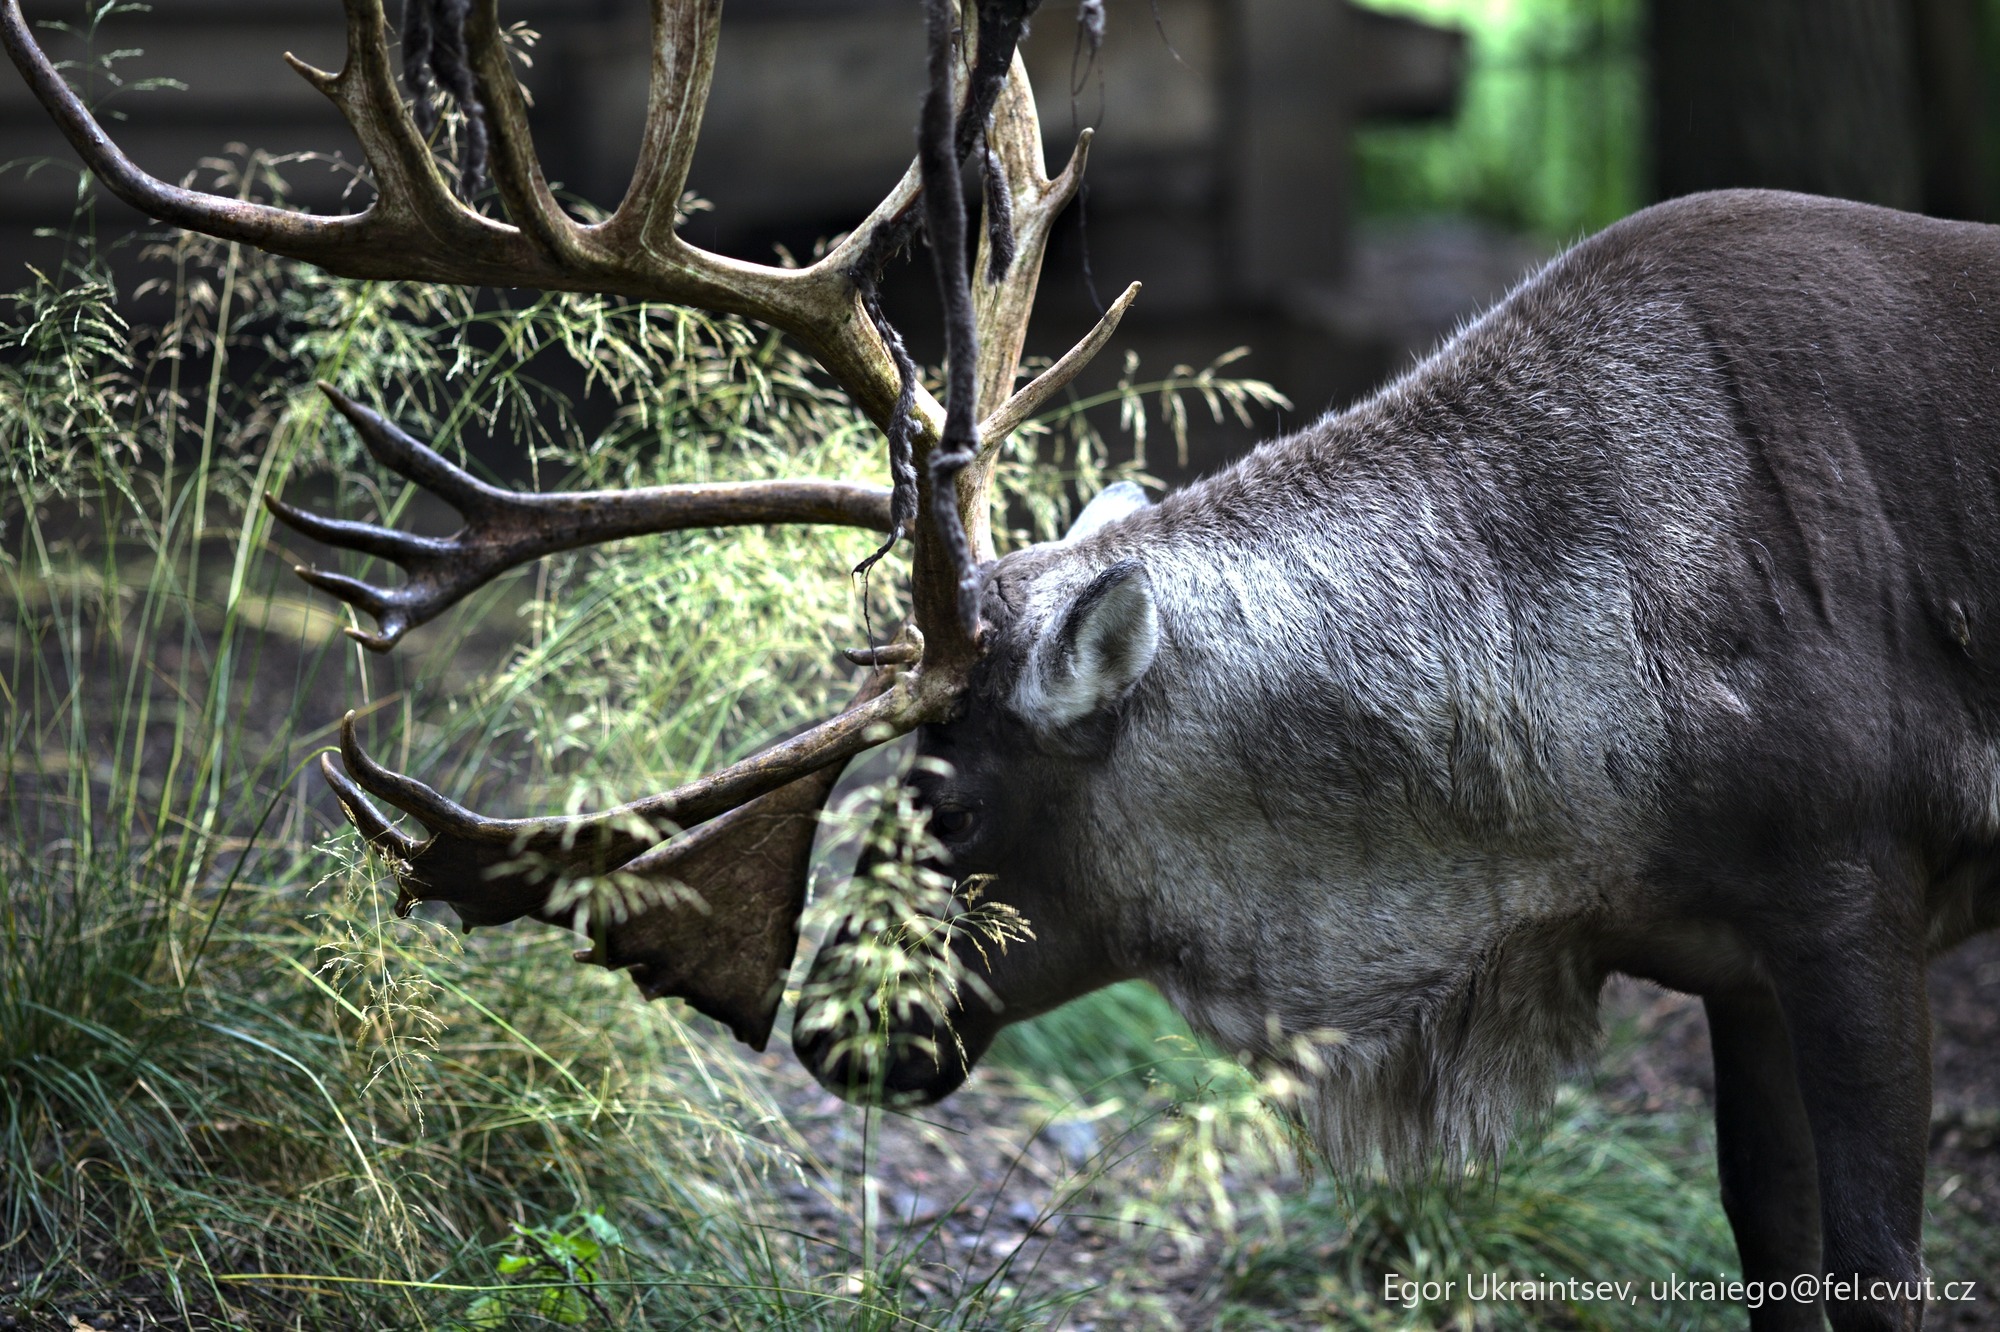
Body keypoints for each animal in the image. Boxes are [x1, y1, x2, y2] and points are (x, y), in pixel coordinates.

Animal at [8, 2, 1995, 1329]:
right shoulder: (1729, 957)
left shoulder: (1852, 898)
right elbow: (1772, 1253)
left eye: (948, 798)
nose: (830, 1027)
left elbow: (1883, 1261)